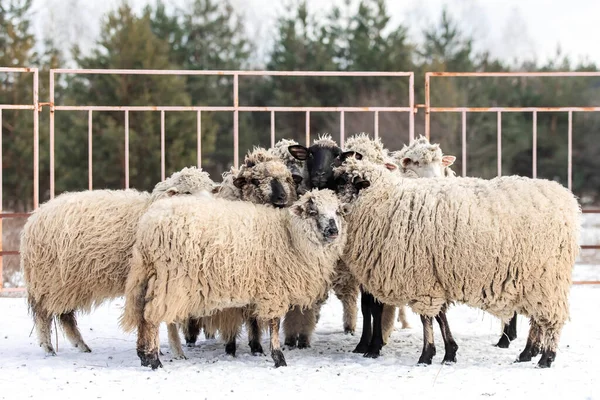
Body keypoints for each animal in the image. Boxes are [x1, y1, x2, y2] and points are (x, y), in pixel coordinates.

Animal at [21, 166, 216, 356]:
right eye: (188, 192)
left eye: (209, 190)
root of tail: (34, 218)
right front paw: (176, 350)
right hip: (49, 281)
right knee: (44, 315)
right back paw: (48, 348)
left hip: (68, 284)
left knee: (64, 315)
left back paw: (81, 345)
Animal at [332, 157, 580, 368]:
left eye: (342, 180)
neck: (385, 203)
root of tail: (565, 198)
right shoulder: (434, 278)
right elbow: (439, 316)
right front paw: (449, 352)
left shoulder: (421, 279)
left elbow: (427, 319)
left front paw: (427, 355)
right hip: (534, 282)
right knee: (538, 318)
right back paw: (528, 353)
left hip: (546, 278)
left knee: (551, 317)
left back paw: (546, 357)